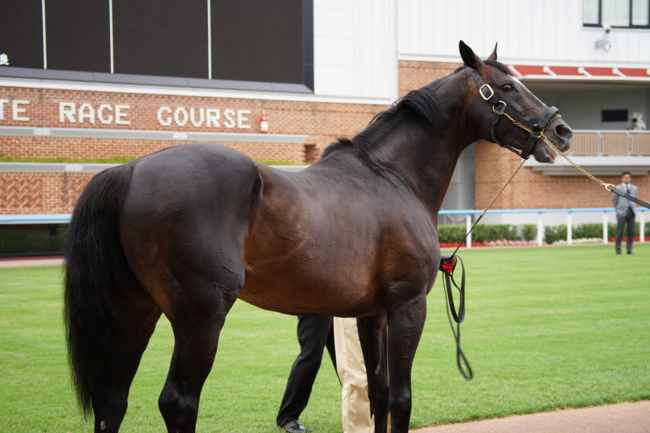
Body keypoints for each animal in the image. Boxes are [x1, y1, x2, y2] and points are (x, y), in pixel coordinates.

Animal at [63, 41, 568, 432]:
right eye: (506, 87)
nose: (561, 130)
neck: (392, 176)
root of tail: (130, 170)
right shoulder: (408, 306)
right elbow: (401, 397)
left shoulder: (371, 315)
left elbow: (378, 394)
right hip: (200, 317)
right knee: (178, 401)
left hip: (136, 310)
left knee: (112, 402)